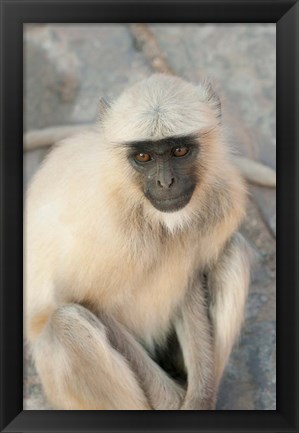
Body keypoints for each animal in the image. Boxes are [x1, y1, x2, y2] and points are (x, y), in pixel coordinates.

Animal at [25, 73, 251, 408]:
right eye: (143, 156)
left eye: (179, 151)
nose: (165, 182)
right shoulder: (107, 228)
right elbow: (84, 301)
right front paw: (173, 400)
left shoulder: (221, 199)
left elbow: (190, 283)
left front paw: (199, 399)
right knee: (66, 323)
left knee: (234, 251)